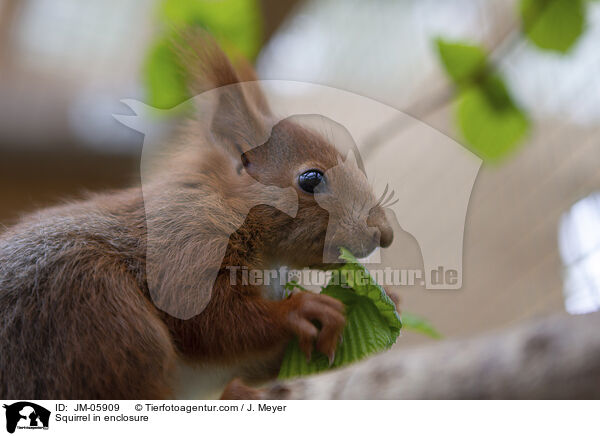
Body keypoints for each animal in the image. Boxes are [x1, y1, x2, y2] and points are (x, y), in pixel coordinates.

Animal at [0, 35, 396, 400]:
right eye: (311, 179)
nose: (384, 233)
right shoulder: (183, 245)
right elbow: (207, 322)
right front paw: (300, 310)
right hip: (97, 315)